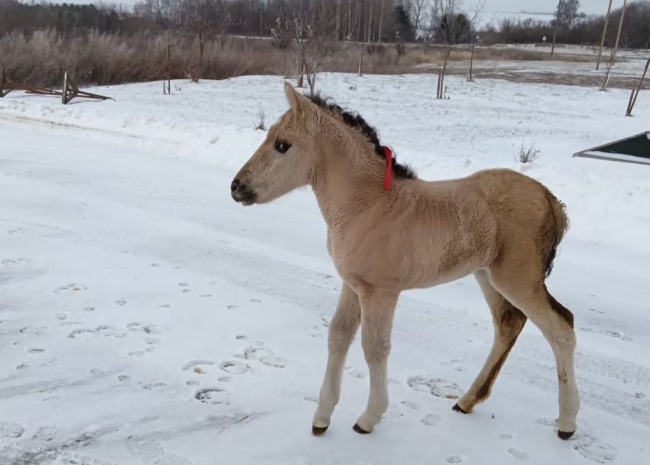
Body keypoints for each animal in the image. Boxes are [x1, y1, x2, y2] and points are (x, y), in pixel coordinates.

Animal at [230, 82, 580, 438]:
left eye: (282, 145)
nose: (236, 186)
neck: (366, 205)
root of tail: (552, 201)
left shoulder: (380, 291)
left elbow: (374, 348)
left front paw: (369, 417)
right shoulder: (352, 285)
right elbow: (338, 337)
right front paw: (321, 417)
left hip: (517, 278)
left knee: (561, 327)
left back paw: (566, 422)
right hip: (486, 275)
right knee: (509, 324)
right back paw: (467, 400)